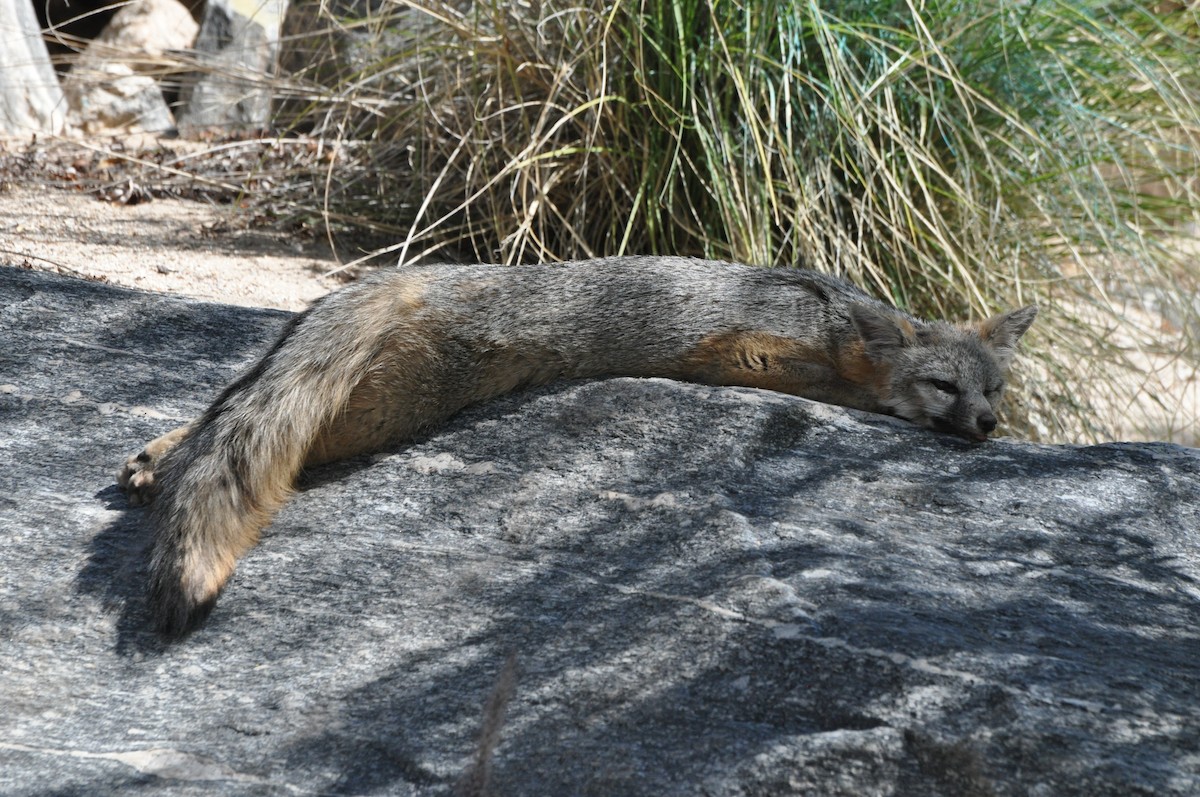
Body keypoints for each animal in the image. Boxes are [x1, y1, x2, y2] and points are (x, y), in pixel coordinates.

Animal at [117, 256, 1036, 636]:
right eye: (945, 388)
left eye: (994, 392)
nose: (987, 429)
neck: (833, 321)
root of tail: (413, 272)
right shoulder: (749, 351)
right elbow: (832, 386)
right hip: (380, 409)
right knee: (253, 427)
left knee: (226, 405)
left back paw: (156, 455)